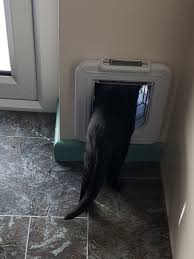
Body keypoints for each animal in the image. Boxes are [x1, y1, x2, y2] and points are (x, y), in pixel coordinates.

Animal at [65, 82, 139, 220]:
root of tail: (99, 133)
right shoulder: (124, 144)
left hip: (88, 159)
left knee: (85, 185)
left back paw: (84, 204)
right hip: (113, 154)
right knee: (111, 173)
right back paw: (117, 185)